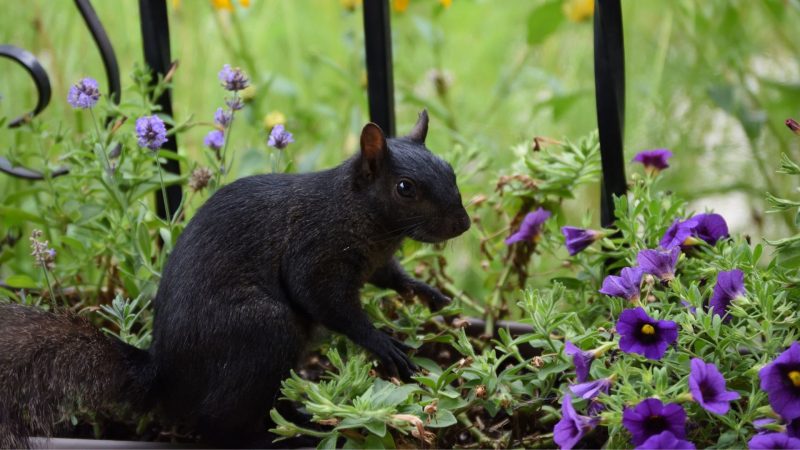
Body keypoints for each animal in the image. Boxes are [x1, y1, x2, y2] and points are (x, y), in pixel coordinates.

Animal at [0, 110, 468, 448]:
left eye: (451, 170)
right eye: (405, 188)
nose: (462, 224)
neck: (362, 215)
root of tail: (164, 379)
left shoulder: (376, 262)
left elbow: (392, 277)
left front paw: (430, 294)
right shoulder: (315, 251)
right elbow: (324, 300)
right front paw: (383, 343)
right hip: (264, 330)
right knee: (218, 425)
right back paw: (279, 435)